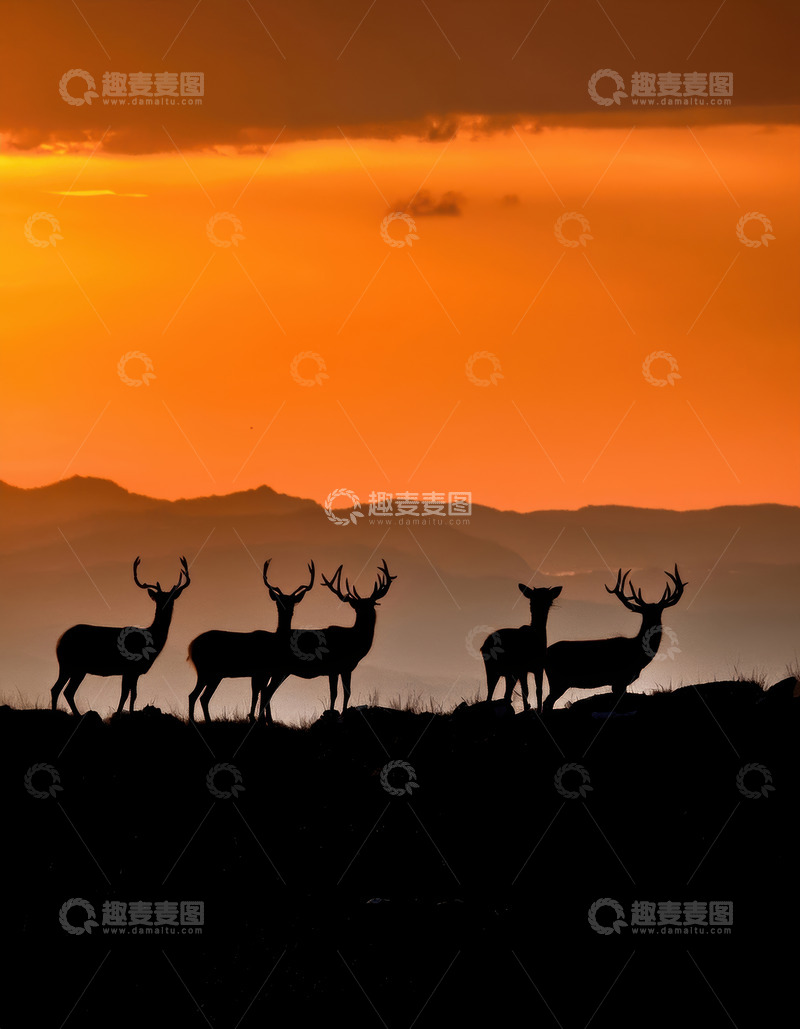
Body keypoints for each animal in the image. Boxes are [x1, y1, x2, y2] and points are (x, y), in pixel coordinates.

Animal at [51, 556, 191, 716]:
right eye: (158, 599)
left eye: (171, 598)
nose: (165, 606)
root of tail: (60, 641)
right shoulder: (129, 668)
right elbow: (126, 694)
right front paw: (120, 714)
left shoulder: (133, 672)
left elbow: (132, 694)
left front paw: (127, 712)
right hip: (72, 665)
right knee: (62, 690)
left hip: (73, 667)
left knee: (62, 690)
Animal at [187, 560, 315, 723]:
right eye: (278, 602)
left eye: (293, 602)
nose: (286, 610)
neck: (275, 644)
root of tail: (191, 647)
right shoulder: (261, 671)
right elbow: (260, 694)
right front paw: (258, 719)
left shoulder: (264, 672)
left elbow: (260, 693)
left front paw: (260, 718)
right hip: (208, 671)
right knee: (199, 696)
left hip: (211, 673)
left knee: (198, 696)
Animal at [255, 559, 396, 724]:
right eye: (357, 607)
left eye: (372, 604)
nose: (367, 614)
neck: (355, 641)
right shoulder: (334, 667)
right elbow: (334, 693)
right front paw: (334, 716)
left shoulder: (346, 668)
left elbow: (347, 692)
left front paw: (342, 713)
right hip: (280, 668)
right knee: (267, 691)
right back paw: (267, 721)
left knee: (266, 690)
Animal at [481, 584, 562, 713]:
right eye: (532, 600)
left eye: (549, 600)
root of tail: (483, 646)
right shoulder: (522, 668)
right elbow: (526, 691)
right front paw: (526, 709)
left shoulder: (540, 667)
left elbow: (539, 690)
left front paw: (538, 710)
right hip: (491, 668)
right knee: (490, 693)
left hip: (509, 673)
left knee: (506, 695)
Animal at [543, 565, 687, 713]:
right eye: (645, 613)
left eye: (659, 612)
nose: (655, 626)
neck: (638, 654)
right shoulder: (619, 680)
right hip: (558, 680)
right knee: (547, 702)